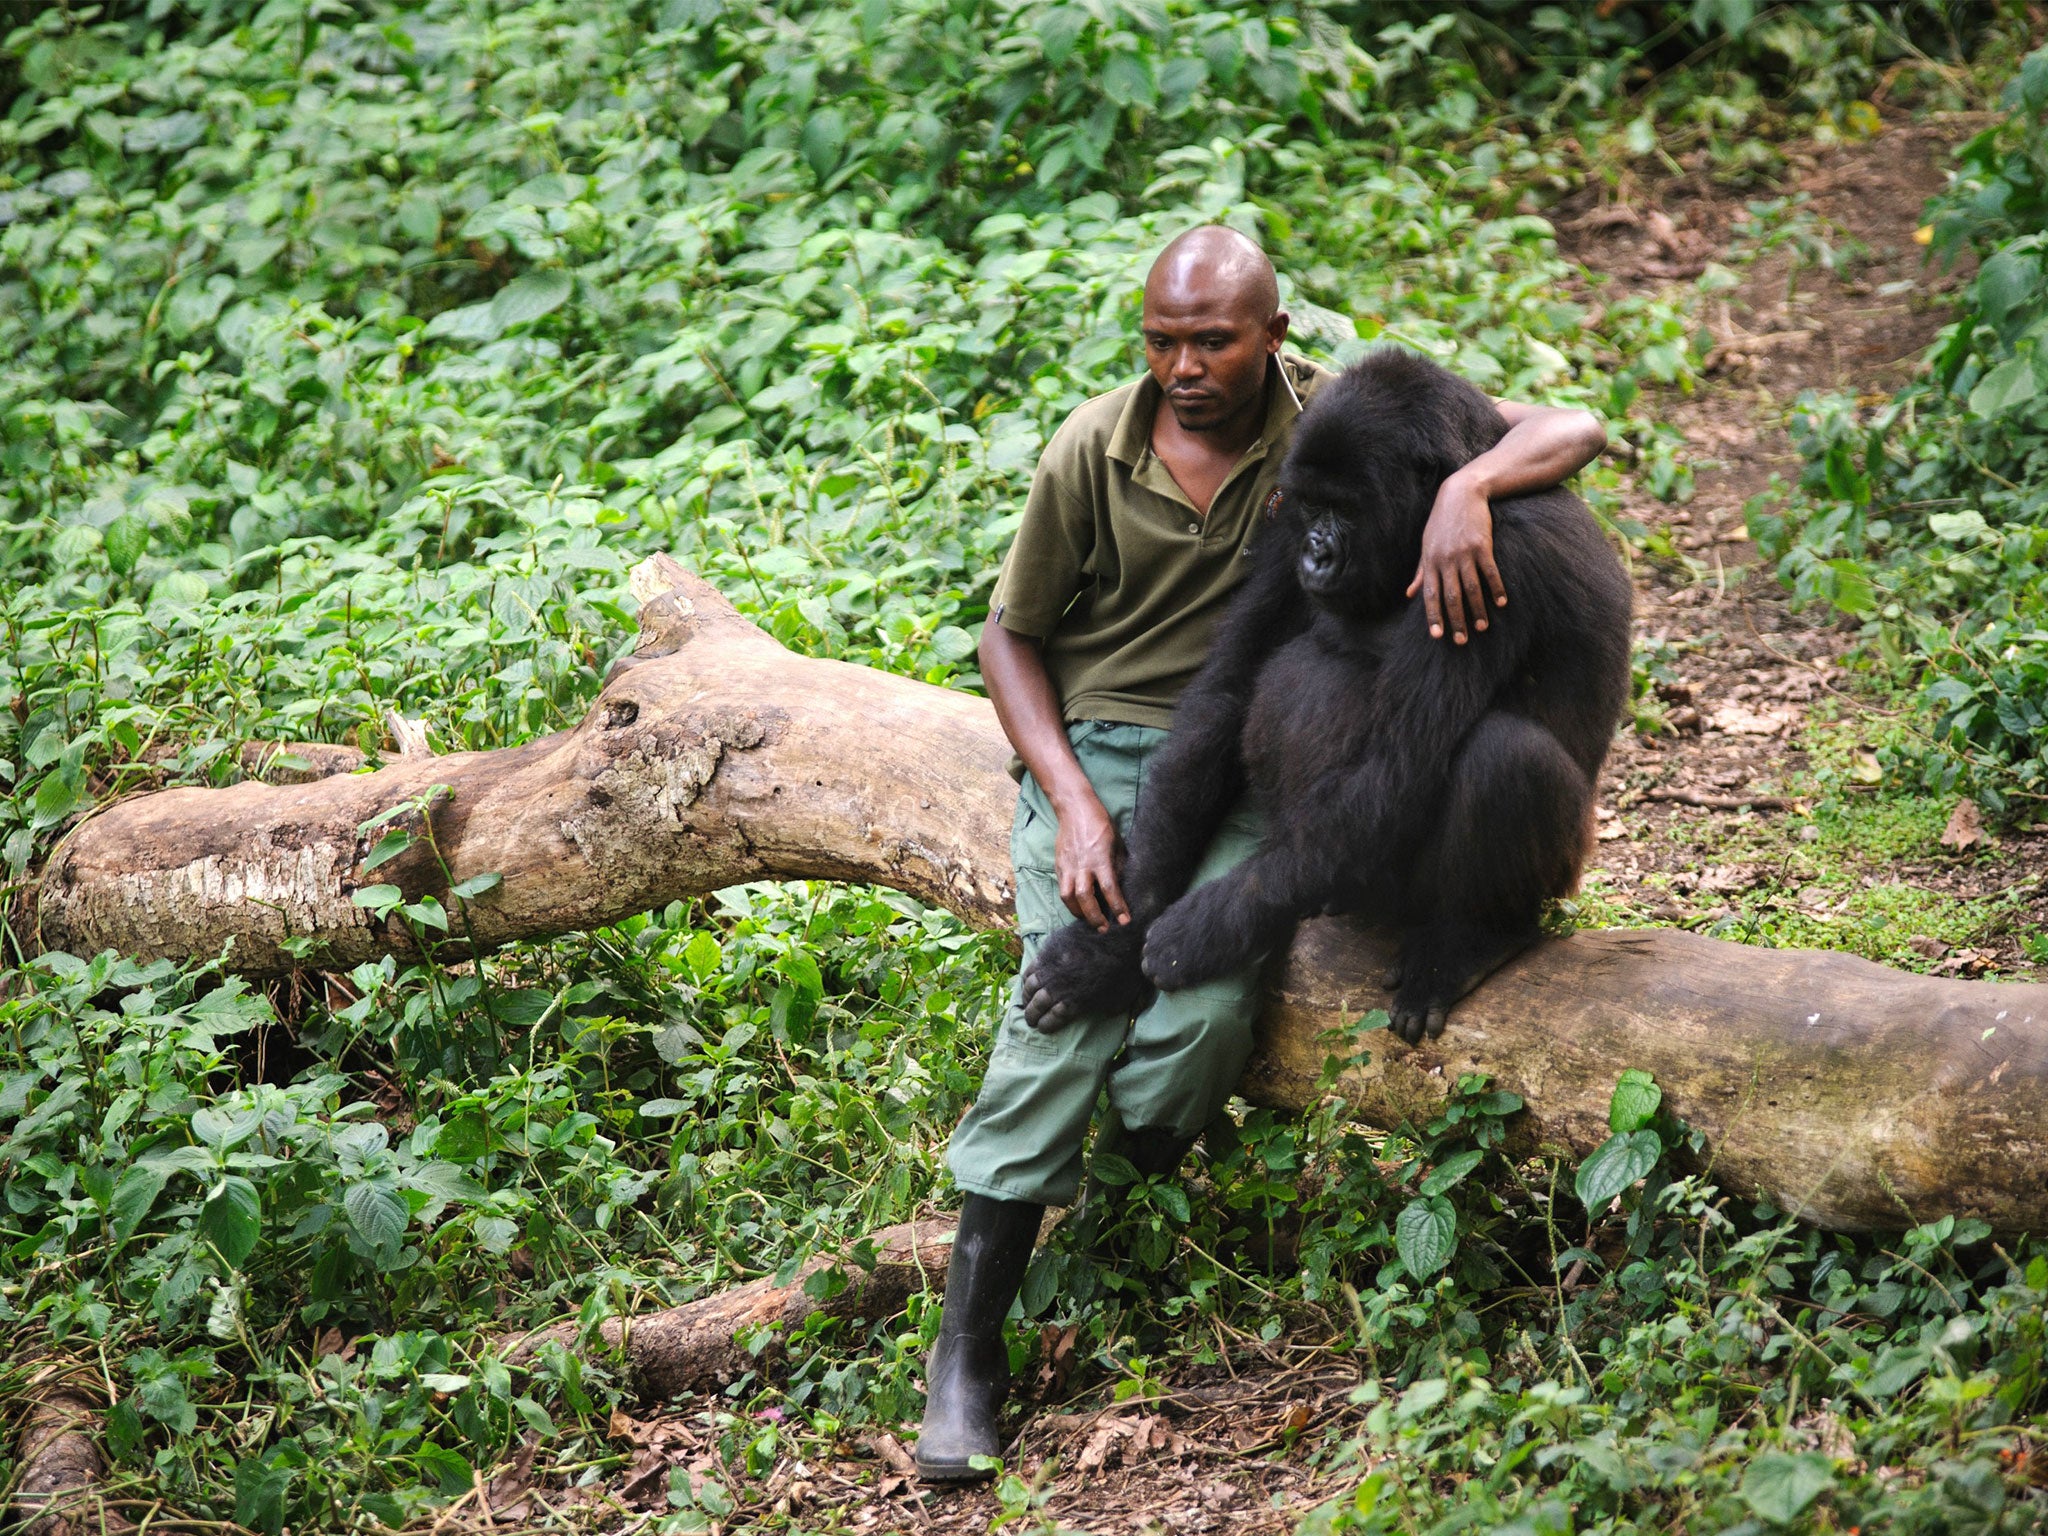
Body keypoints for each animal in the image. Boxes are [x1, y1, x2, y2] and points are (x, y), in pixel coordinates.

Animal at [1015, 348, 1622, 1048]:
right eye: (1311, 508)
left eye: (1348, 509)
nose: (1317, 554)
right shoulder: (1281, 524)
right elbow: (1228, 692)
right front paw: (1109, 950)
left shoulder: (1488, 549)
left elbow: (1397, 760)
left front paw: (1200, 932)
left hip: (1551, 874)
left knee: (1505, 754)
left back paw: (1476, 938)